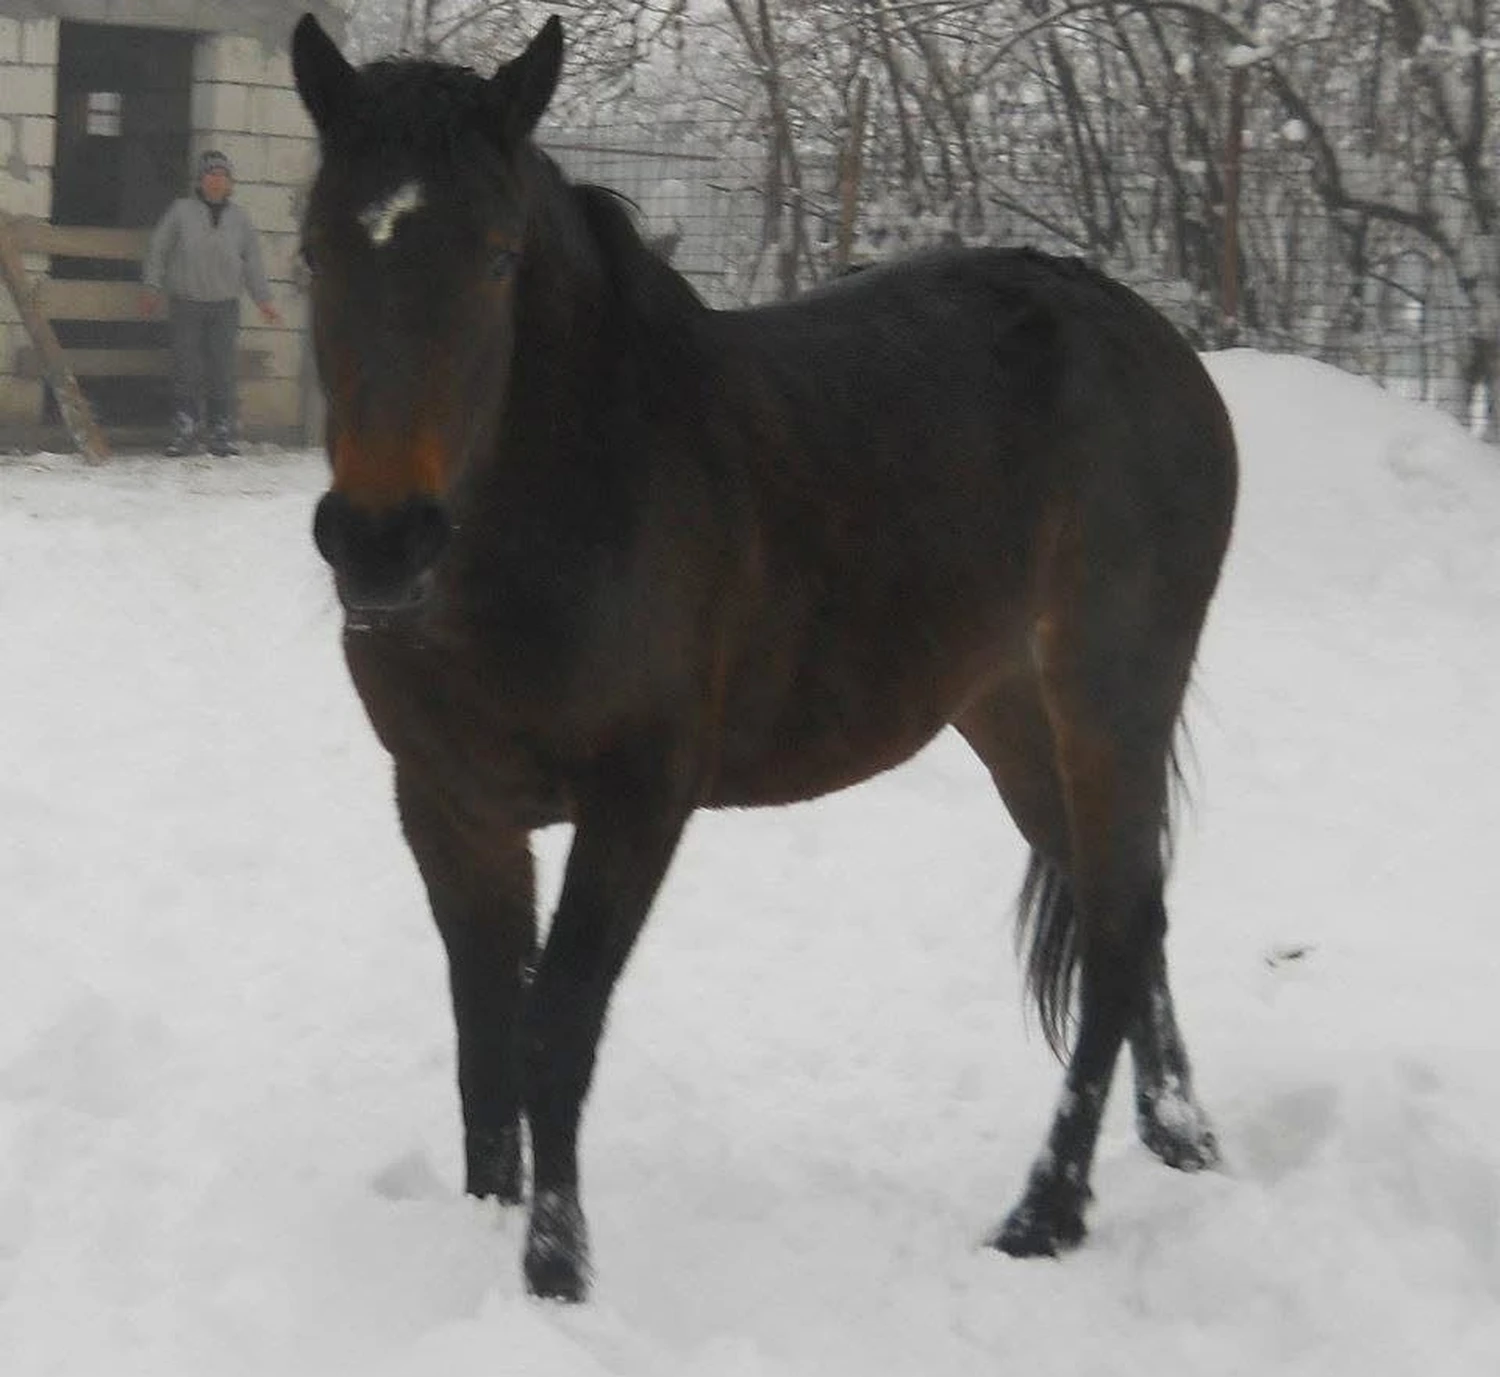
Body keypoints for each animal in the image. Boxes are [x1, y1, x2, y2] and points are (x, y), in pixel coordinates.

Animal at [290, 12, 1238, 1303]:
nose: (381, 545)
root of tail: (1155, 345)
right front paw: (490, 1234)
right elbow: (483, 1039)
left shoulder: (638, 800)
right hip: (1010, 717)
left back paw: (1044, 1216)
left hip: (1110, 698)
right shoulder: (448, 804)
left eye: (494, 258)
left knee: (1118, 932)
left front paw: (556, 1273)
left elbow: (555, 1031)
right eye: (315, 255)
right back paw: (1182, 1140)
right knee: (1129, 913)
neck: (576, 500)